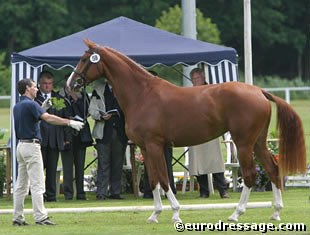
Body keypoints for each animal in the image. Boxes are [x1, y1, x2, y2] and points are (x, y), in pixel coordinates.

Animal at [66, 39, 306, 223]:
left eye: (85, 59)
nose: (71, 84)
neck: (142, 95)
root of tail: (258, 92)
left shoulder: (155, 145)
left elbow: (164, 179)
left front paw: (175, 214)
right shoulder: (145, 148)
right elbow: (153, 180)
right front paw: (154, 215)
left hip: (244, 143)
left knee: (250, 176)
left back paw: (236, 214)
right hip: (258, 142)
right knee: (272, 168)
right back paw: (275, 213)